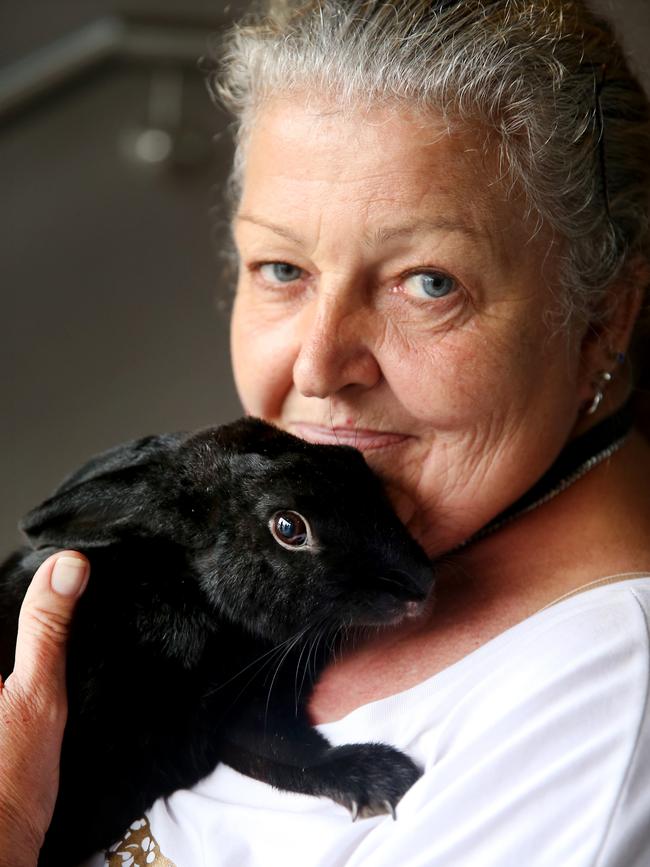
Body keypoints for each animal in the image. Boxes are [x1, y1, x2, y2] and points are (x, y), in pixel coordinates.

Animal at [1, 418, 436, 864]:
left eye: (353, 460)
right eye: (289, 527)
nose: (421, 582)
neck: (198, 601)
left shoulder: (238, 710)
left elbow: (286, 754)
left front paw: (379, 777)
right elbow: (282, 752)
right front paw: (386, 776)